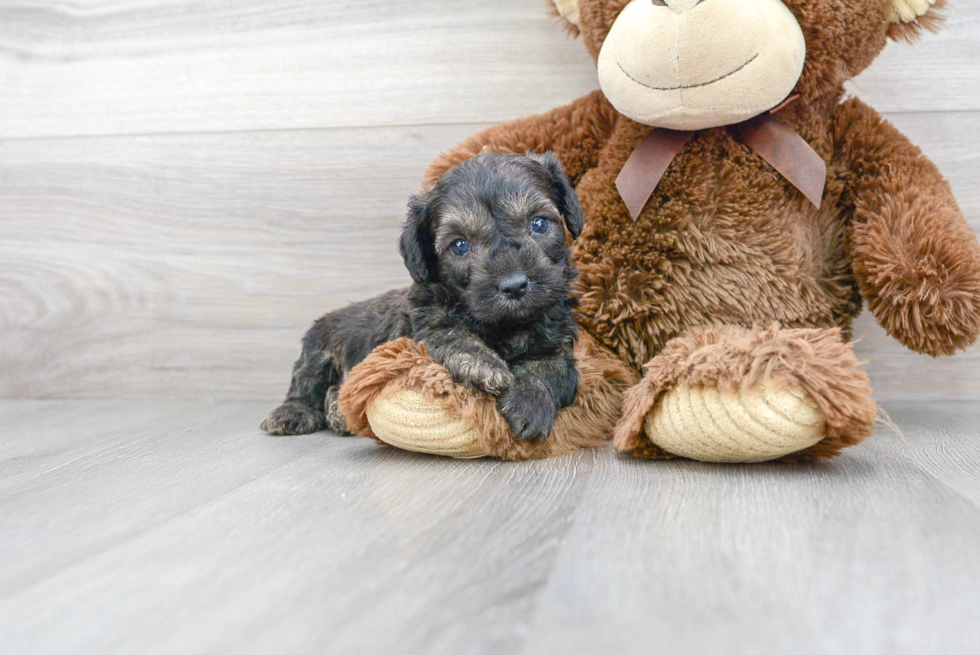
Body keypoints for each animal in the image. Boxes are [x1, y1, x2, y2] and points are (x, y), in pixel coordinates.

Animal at [260, 150, 580, 440]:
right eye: (460, 245)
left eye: (539, 224)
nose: (514, 285)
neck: (507, 326)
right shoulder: (418, 331)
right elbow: (448, 335)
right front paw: (483, 365)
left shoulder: (559, 343)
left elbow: (549, 367)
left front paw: (529, 403)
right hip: (317, 347)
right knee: (306, 384)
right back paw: (292, 413)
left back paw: (338, 415)